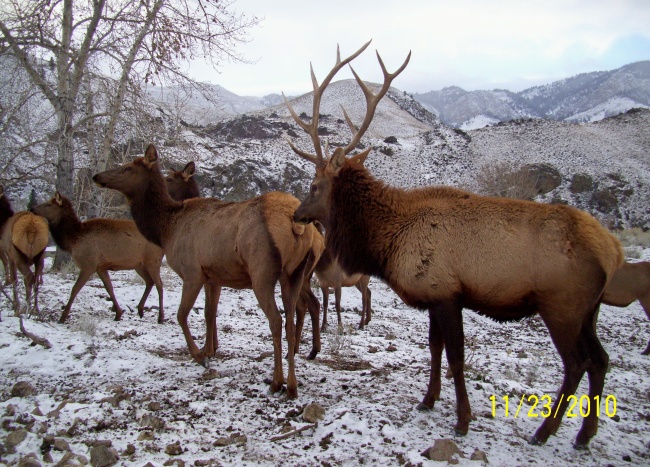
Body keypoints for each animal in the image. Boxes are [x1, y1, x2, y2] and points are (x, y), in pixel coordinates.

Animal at [32, 192, 165, 324]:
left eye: (48, 204)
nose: (32, 208)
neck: (73, 240)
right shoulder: (101, 267)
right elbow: (109, 288)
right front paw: (118, 313)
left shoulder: (88, 265)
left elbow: (75, 288)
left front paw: (62, 317)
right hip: (139, 265)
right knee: (149, 281)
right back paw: (140, 310)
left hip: (153, 260)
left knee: (159, 284)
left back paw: (160, 317)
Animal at [91, 146, 324, 398]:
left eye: (127, 168)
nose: (97, 176)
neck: (166, 230)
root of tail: (298, 226)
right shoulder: (213, 276)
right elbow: (209, 312)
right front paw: (209, 349)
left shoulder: (192, 271)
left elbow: (181, 314)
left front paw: (199, 355)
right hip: (294, 274)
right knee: (292, 319)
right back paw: (292, 385)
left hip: (262, 272)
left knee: (276, 320)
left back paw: (276, 381)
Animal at [284, 42, 624, 448]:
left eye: (314, 185)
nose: (297, 214)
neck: (388, 240)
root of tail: (614, 251)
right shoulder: (433, 294)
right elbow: (435, 349)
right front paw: (427, 400)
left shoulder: (447, 294)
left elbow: (457, 358)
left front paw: (462, 420)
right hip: (590, 309)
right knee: (600, 359)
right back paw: (584, 434)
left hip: (562, 305)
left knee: (576, 363)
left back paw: (545, 431)